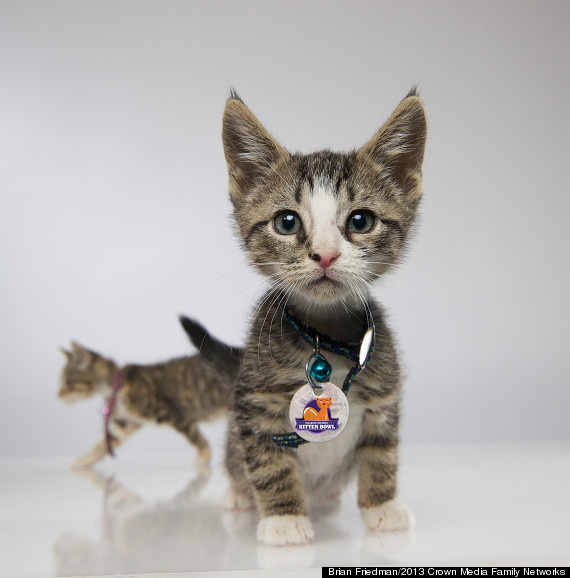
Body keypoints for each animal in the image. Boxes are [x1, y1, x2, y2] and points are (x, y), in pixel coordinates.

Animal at [57, 316, 235, 468]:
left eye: (68, 382)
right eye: (62, 382)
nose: (58, 395)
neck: (119, 387)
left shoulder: (174, 414)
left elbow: (195, 436)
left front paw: (204, 455)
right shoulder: (126, 425)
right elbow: (102, 445)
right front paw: (83, 461)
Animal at [189, 89, 424, 544]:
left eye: (361, 220)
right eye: (286, 222)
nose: (325, 254)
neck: (324, 332)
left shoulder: (385, 395)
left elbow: (381, 453)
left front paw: (381, 505)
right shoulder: (255, 402)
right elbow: (267, 461)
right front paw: (283, 517)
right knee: (235, 461)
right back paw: (240, 496)